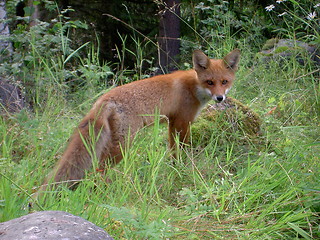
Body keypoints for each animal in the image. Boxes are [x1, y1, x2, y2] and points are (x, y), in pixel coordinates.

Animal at [38, 49, 240, 192]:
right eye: (209, 82)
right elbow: (181, 151)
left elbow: (173, 152)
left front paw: (175, 170)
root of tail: (104, 99)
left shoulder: (172, 122)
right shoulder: (182, 121)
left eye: (224, 81)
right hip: (122, 145)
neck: (193, 87)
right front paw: (182, 170)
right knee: (98, 169)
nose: (220, 98)